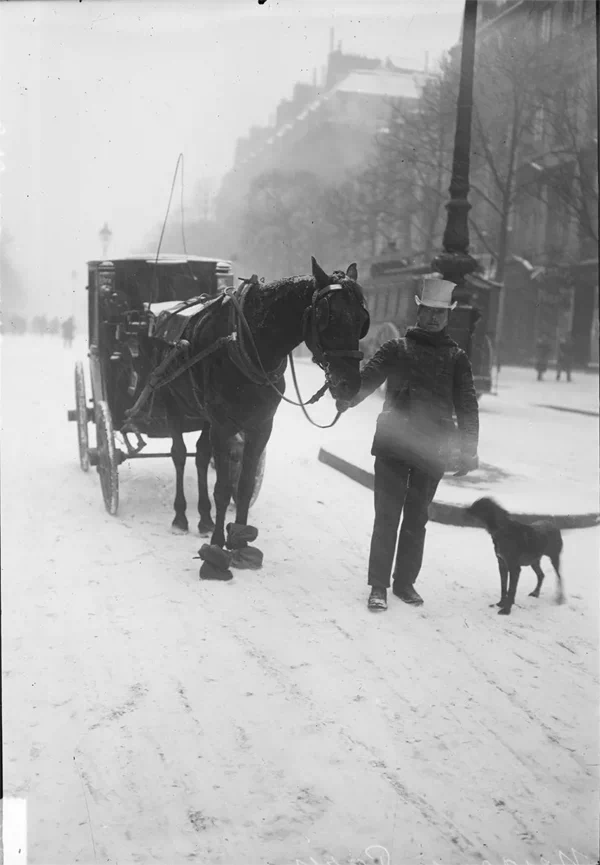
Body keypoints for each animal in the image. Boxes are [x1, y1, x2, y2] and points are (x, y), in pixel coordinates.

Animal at [146, 253, 370, 572]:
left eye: (363, 321)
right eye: (328, 318)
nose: (349, 385)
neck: (246, 344)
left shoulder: (260, 426)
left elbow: (243, 487)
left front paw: (239, 543)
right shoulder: (224, 426)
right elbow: (222, 488)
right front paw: (217, 547)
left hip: (205, 417)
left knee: (200, 456)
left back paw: (204, 518)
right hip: (172, 402)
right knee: (178, 454)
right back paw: (180, 517)